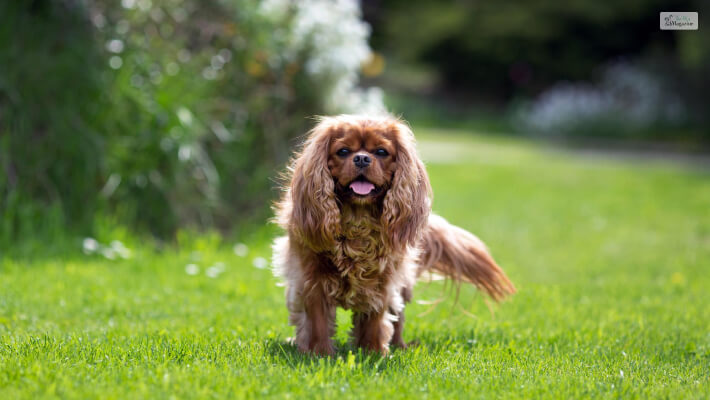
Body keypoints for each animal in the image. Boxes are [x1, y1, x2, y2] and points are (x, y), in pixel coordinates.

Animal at [274, 115, 516, 356]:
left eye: (381, 152)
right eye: (343, 151)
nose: (361, 158)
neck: (358, 220)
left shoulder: (383, 282)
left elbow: (375, 319)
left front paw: (373, 353)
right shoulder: (311, 278)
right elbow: (317, 322)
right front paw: (319, 354)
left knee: (398, 317)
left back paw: (400, 346)